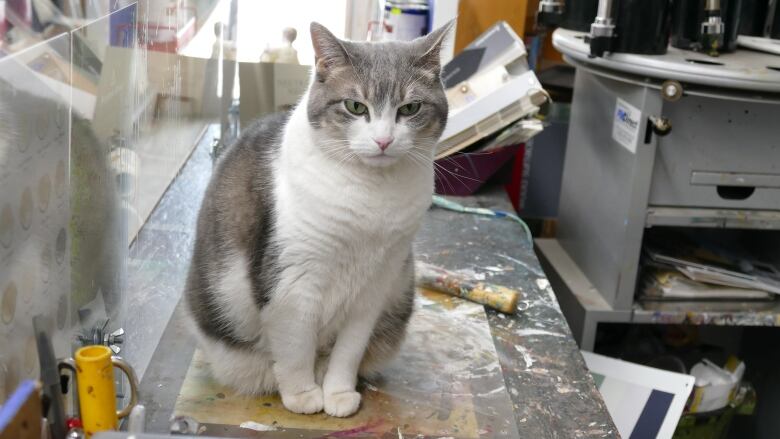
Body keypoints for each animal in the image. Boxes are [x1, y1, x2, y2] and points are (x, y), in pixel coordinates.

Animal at [186, 21, 450, 420]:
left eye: (410, 108)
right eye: (355, 106)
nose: (384, 141)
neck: (371, 196)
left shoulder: (376, 286)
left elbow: (349, 350)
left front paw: (338, 393)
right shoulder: (294, 284)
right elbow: (295, 347)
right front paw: (302, 395)